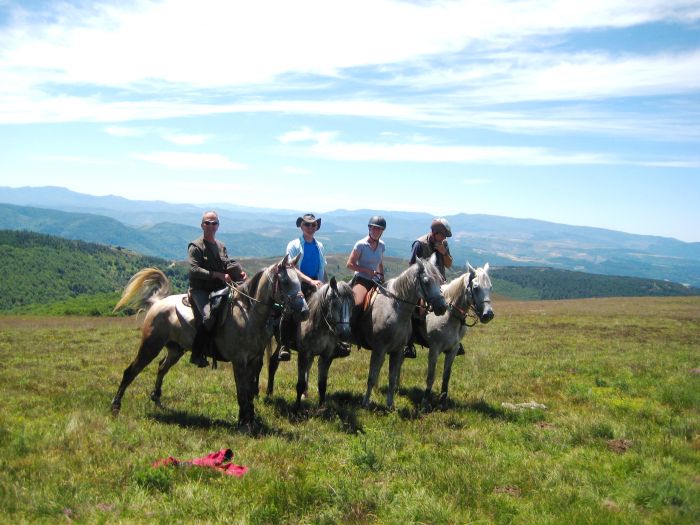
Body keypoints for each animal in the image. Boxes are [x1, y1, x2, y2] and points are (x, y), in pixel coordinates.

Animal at [110, 254, 308, 426]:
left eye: (300, 282)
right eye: (285, 281)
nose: (304, 312)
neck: (249, 314)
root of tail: (157, 303)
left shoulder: (255, 360)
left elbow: (250, 391)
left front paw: (251, 418)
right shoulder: (239, 361)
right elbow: (242, 391)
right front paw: (243, 422)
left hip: (175, 349)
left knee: (161, 367)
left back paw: (156, 398)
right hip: (150, 346)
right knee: (131, 371)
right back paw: (115, 405)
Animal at [266, 278, 358, 406]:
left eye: (352, 305)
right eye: (334, 303)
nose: (345, 333)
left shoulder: (326, 356)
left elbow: (322, 384)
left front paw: (322, 406)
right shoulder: (303, 354)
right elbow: (300, 383)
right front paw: (297, 406)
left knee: (276, 362)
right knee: (272, 363)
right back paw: (268, 393)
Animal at [356, 258, 448, 410]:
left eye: (440, 280)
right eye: (426, 281)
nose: (442, 307)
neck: (395, 308)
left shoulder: (397, 351)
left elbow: (392, 378)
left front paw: (390, 405)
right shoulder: (379, 349)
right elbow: (372, 377)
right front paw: (365, 403)